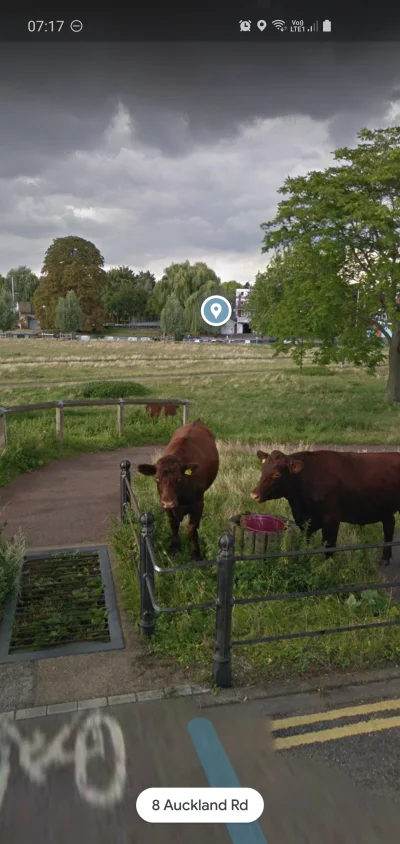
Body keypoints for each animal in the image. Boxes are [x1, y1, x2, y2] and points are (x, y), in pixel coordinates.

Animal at [137, 418, 219, 560]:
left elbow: (192, 528)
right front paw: (175, 548)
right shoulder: (166, 507)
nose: (169, 502)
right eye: (157, 478)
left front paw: (195, 554)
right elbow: (173, 524)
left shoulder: (198, 504)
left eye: (179, 478)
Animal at [250, 448, 400, 568]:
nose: (254, 494)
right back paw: (385, 558)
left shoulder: (331, 518)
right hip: (385, 509)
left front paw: (328, 567)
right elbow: (305, 542)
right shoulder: (304, 520)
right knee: (389, 526)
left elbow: (329, 544)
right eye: (263, 469)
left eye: (277, 474)